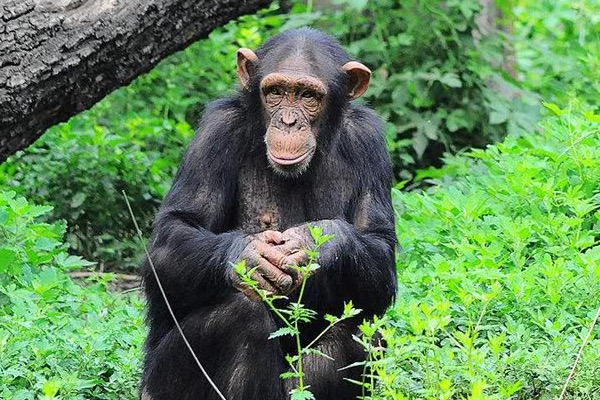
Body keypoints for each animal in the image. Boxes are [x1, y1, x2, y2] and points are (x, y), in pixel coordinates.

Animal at [138, 28, 396, 400]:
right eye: (275, 92)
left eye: (308, 96)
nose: (288, 121)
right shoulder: (216, 131)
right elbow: (172, 236)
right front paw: (247, 254)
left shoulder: (370, 142)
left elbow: (380, 251)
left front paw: (317, 242)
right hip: (155, 387)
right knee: (240, 317)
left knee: (354, 328)